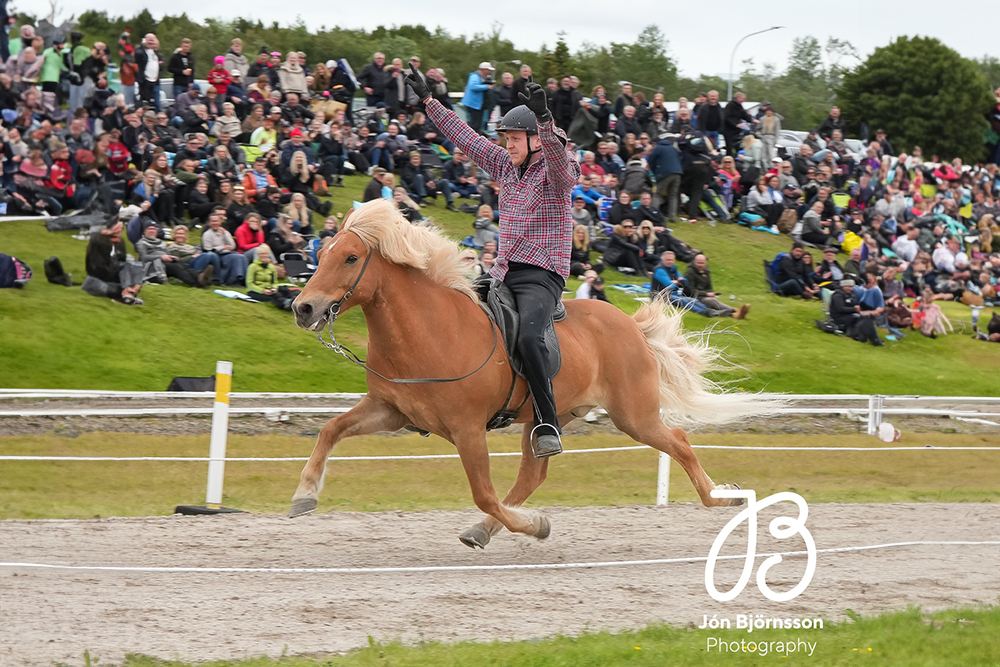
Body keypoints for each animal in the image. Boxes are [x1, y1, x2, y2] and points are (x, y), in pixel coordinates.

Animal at [290, 201, 772, 552]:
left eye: (350, 257)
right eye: (322, 253)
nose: (303, 308)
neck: (429, 331)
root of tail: (631, 327)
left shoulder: (467, 430)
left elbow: (483, 491)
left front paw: (537, 525)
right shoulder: (390, 410)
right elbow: (330, 430)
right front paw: (304, 495)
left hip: (634, 416)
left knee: (680, 442)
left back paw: (725, 497)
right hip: (545, 420)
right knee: (532, 475)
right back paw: (483, 530)